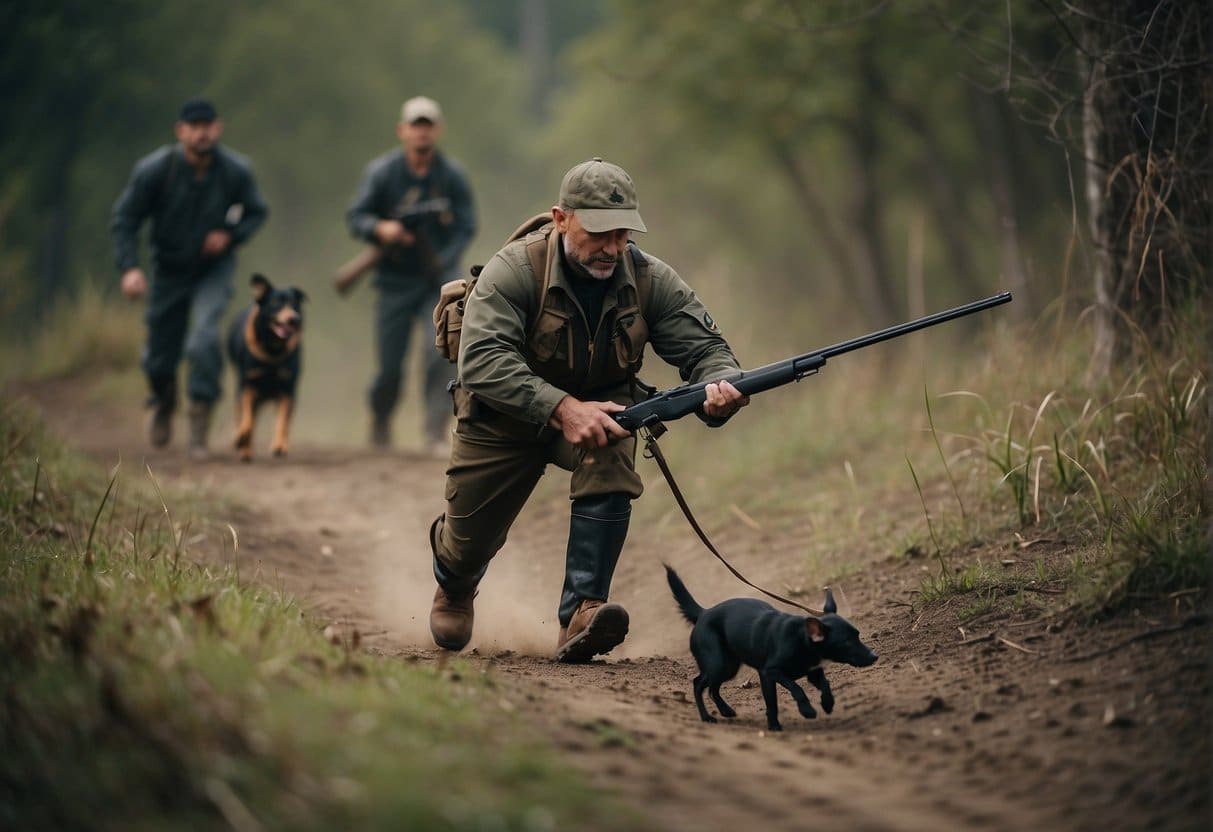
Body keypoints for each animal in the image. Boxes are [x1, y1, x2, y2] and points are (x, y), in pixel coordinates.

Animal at [226, 275, 308, 463]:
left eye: (294, 304)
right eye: (275, 303)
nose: (293, 318)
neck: (273, 349)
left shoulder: (287, 389)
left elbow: (282, 421)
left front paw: (280, 445)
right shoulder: (248, 385)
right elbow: (247, 420)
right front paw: (241, 438)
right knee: (243, 415)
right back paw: (244, 448)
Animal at [669, 562, 878, 732]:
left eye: (858, 635)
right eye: (847, 642)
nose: (874, 655)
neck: (801, 640)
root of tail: (703, 613)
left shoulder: (813, 672)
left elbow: (825, 685)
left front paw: (827, 703)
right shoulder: (770, 673)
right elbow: (791, 692)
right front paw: (801, 714)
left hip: (728, 666)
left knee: (713, 688)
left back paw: (726, 711)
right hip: (718, 663)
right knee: (698, 684)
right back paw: (706, 717)